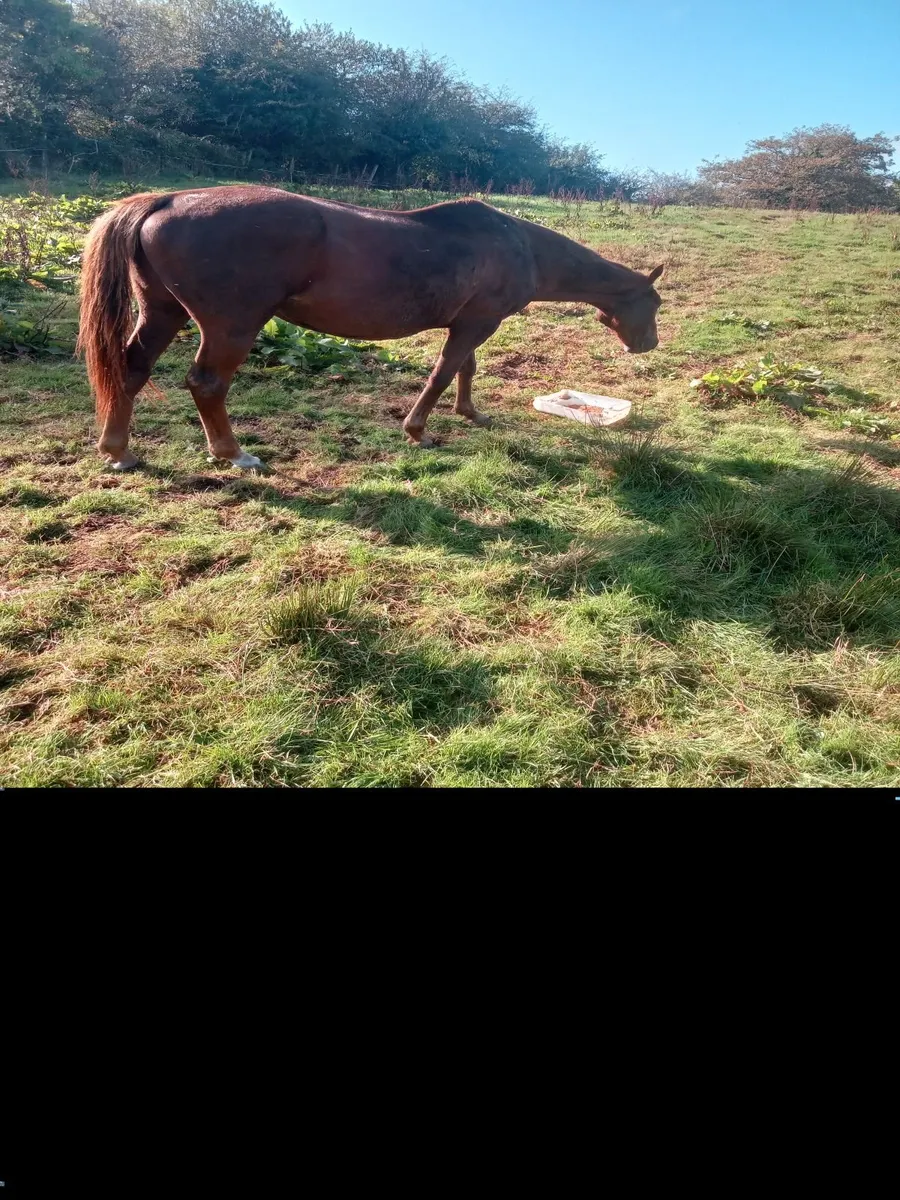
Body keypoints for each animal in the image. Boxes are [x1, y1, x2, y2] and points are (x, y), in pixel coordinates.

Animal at [77, 186, 663, 470]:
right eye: (654, 304)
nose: (649, 344)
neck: (518, 246)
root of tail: (168, 199)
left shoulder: (472, 322)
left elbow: (466, 370)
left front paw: (470, 414)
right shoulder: (477, 323)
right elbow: (443, 372)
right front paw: (418, 429)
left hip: (162, 312)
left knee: (131, 370)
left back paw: (119, 451)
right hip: (232, 326)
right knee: (207, 385)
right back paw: (232, 453)